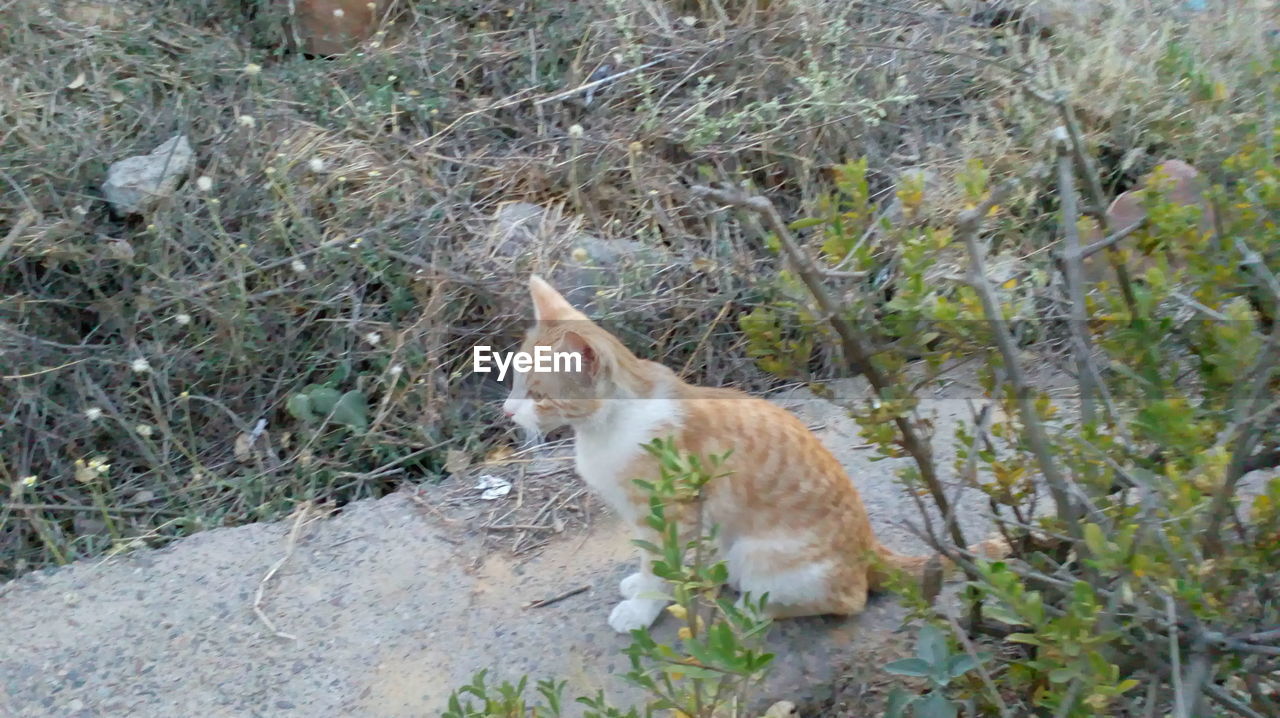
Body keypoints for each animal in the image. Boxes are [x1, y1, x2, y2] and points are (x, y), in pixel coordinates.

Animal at [504, 273, 1003, 632]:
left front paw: (643, 607)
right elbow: (654, 561)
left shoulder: (671, 514)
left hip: (762, 554)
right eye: (514, 380)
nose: (508, 411)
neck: (602, 429)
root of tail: (870, 550)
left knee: (847, 601)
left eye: (538, 395)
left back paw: (750, 610)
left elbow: (658, 566)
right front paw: (647, 585)